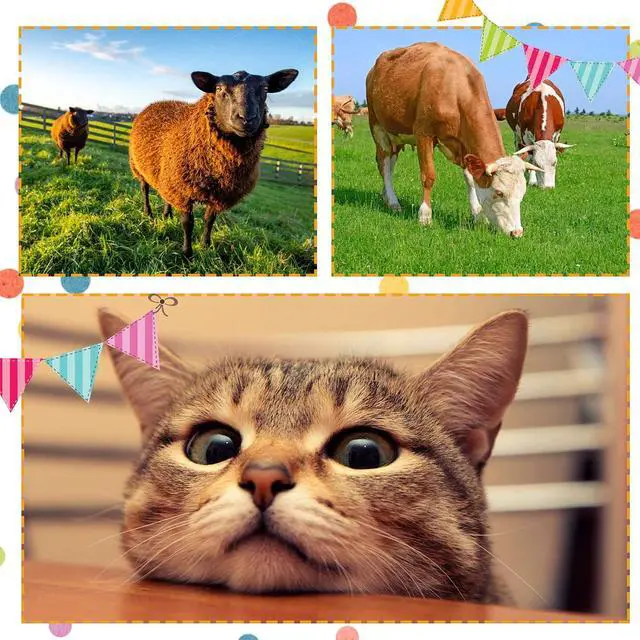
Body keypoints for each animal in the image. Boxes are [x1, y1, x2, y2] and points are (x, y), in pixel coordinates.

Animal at [366, 42, 542, 238]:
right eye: (498, 192)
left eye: (522, 194)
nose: (516, 232)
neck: (455, 89)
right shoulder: (423, 134)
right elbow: (428, 176)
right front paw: (425, 216)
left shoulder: (465, 145)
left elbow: (471, 179)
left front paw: (478, 214)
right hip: (378, 128)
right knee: (384, 164)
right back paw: (393, 202)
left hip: (396, 135)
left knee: (390, 164)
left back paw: (386, 196)